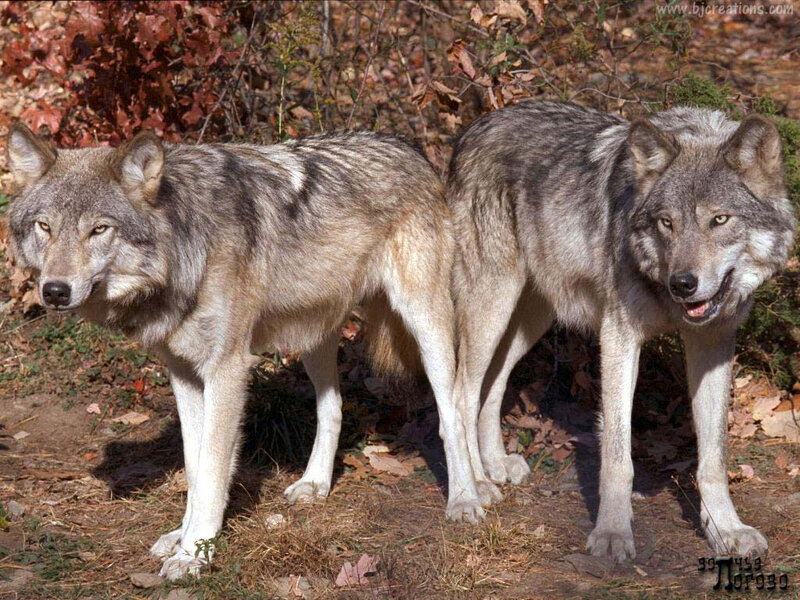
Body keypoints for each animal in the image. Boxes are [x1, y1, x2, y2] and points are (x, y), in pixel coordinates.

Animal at [6, 124, 488, 579]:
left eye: (99, 229)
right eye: (45, 227)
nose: (54, 291)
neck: (183, 245)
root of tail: (409, 146)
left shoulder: (227, 370)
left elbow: (213, 469)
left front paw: (194, 555)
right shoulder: (184, 374)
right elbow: (195, 467)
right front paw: (183, 537)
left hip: (426, 323)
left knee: (452, 411)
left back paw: (466, 499)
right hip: (313, 338)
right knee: (332, 407)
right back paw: (315, 484)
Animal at [448, 102, 795, 561]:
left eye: (719, 220)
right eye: (667, 223)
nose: (682, 284)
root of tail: (474, 128)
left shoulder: (713, 343)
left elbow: (714, 460)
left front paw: (726, 530)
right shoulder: (619, 337)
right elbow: (617, 455)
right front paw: (612, 534)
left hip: (529, 320)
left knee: (493, 386)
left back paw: (496, 466)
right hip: (493, 305)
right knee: (461, 394)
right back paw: (475, 486)